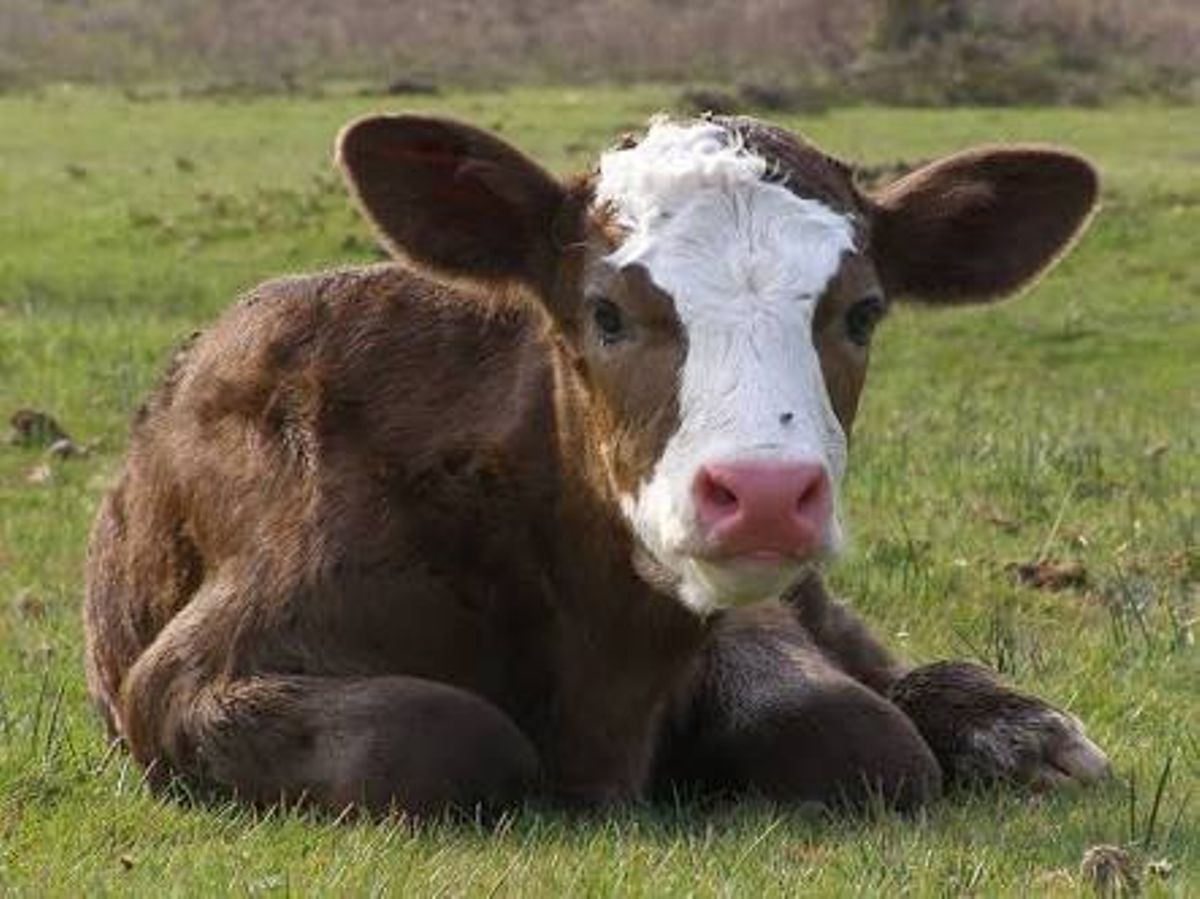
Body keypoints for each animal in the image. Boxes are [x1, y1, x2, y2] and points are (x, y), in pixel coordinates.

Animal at [84, 112, 1108, 811]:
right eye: (606, 314)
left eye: (862, 312)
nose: (767, 495)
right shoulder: (189, 676)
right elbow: (444, 733)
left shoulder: (739, 609)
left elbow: (853, 729)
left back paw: (1027, 731)